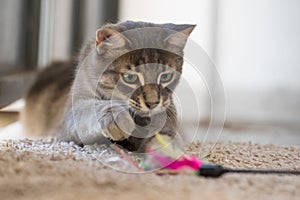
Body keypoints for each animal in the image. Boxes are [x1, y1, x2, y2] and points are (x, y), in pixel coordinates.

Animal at [21, 20, 195, 152]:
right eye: (130, 77)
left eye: (166, 76)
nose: (152, 103)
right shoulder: (72, 115)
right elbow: (90, 109)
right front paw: (117, 118)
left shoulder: (168, 111)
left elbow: (166, 131)